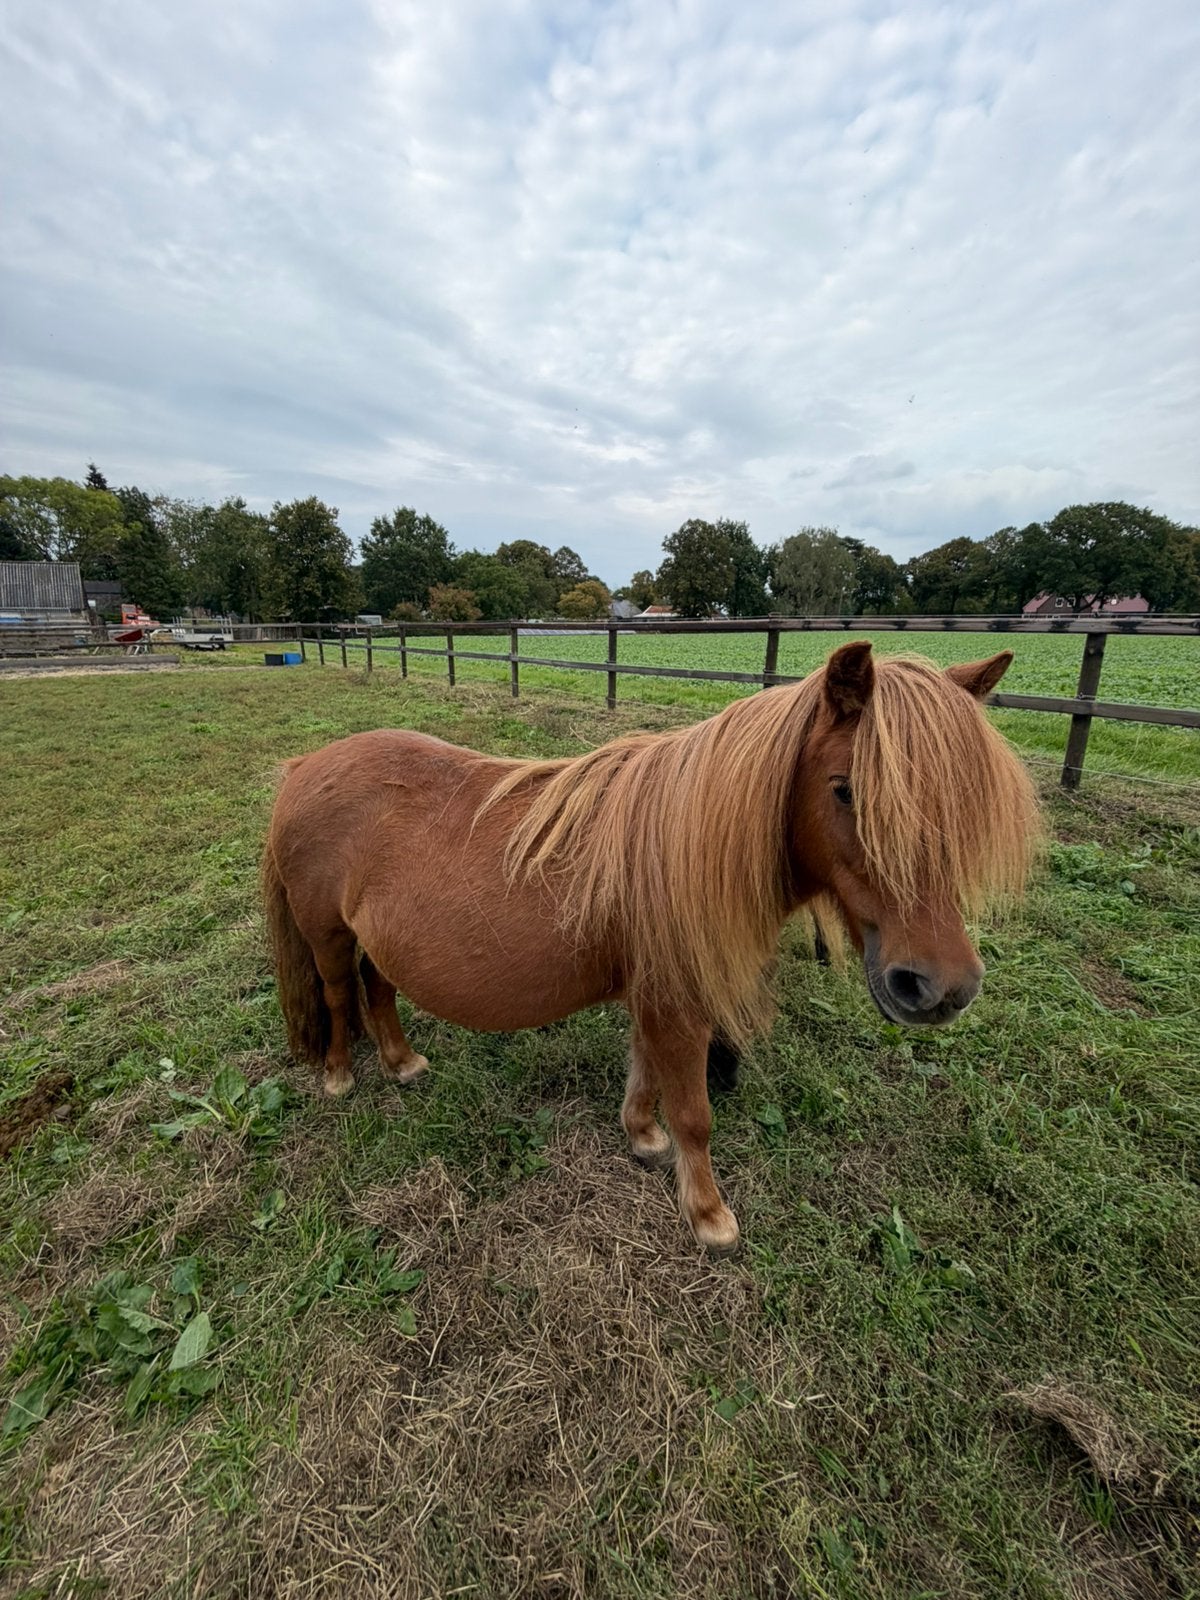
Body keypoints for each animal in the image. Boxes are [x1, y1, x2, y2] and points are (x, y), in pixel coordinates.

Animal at [261, 641, 1038, 1254]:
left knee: (377, 989)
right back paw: (340, 1076)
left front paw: (642, 1138)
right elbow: (693, 1112)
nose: (940, 986)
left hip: (376, 941)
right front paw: (709, 1215)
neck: (687, 844)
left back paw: (402, 1063)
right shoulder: (679, 1003)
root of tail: (304, 764)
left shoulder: (654, 990)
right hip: (327, 936)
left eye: (962, 803)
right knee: (339, 994)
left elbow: (643, 1072)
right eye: (845, 790)